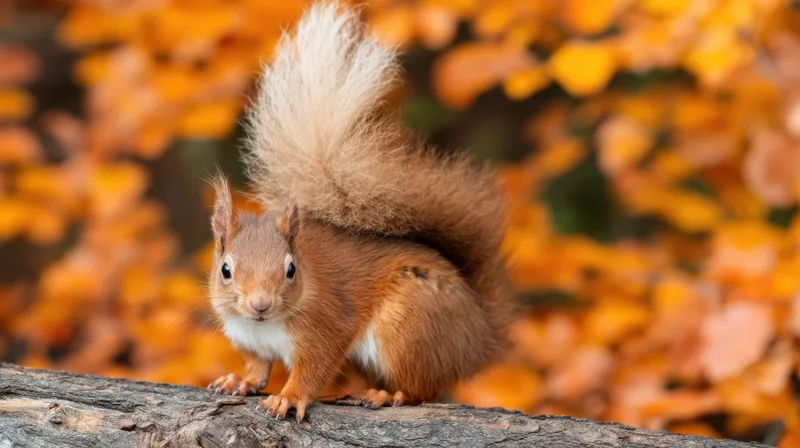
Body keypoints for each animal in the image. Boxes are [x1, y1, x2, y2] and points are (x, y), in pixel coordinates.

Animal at [206, 1, 516, 423]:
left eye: (291, 270)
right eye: (225, 270)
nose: (260, 304)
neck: (264, 325)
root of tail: (479, 336)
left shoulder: (327, 326)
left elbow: (314, 367)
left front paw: (289, 397)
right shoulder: (248, 339)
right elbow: (257, 367)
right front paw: (239, 381)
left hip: (408, 325)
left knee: (423, 390)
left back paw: (389, 395)